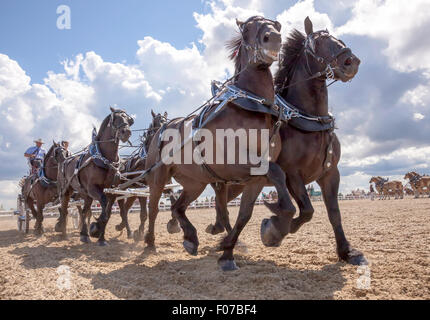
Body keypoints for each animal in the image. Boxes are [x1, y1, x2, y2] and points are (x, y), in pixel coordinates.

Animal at [55, 107, 133, 245]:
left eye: (129, 120)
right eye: (115, 118)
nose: (126, 132)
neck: (105, 159)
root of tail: (64, 161)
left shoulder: (112, 192)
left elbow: (107, 213)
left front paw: (101, 238)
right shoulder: (93, 188)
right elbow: (103, 205)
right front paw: (96, 227)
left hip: (86, 194)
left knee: (84, 211)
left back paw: (84, 235)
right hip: (66, 192)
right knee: (64, 211)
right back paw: (64, 234)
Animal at [139, 15, 298, 270]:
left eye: (276, 25)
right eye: (247, 28)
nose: (273, 37)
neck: (253, 106)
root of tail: (162, 129)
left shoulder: (255, 177)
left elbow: (244, 214)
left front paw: (228, 252)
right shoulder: (232, 164)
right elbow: (275, 173)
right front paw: (276, 223)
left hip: (195, 182)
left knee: (178, 207)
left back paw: (191, 238)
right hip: (158, 178)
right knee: (153, 209)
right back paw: (150, 243)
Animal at [208, 17, 366, 266]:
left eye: (337, 38)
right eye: (318, 42)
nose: (352, 62)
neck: (310, 121)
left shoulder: (331, 173)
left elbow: (334, 213)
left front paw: (346, 251)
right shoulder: (293, 174)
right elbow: (308, 210)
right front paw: (274, 230)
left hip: (239, 182)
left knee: (222, 203)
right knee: (221, 203)